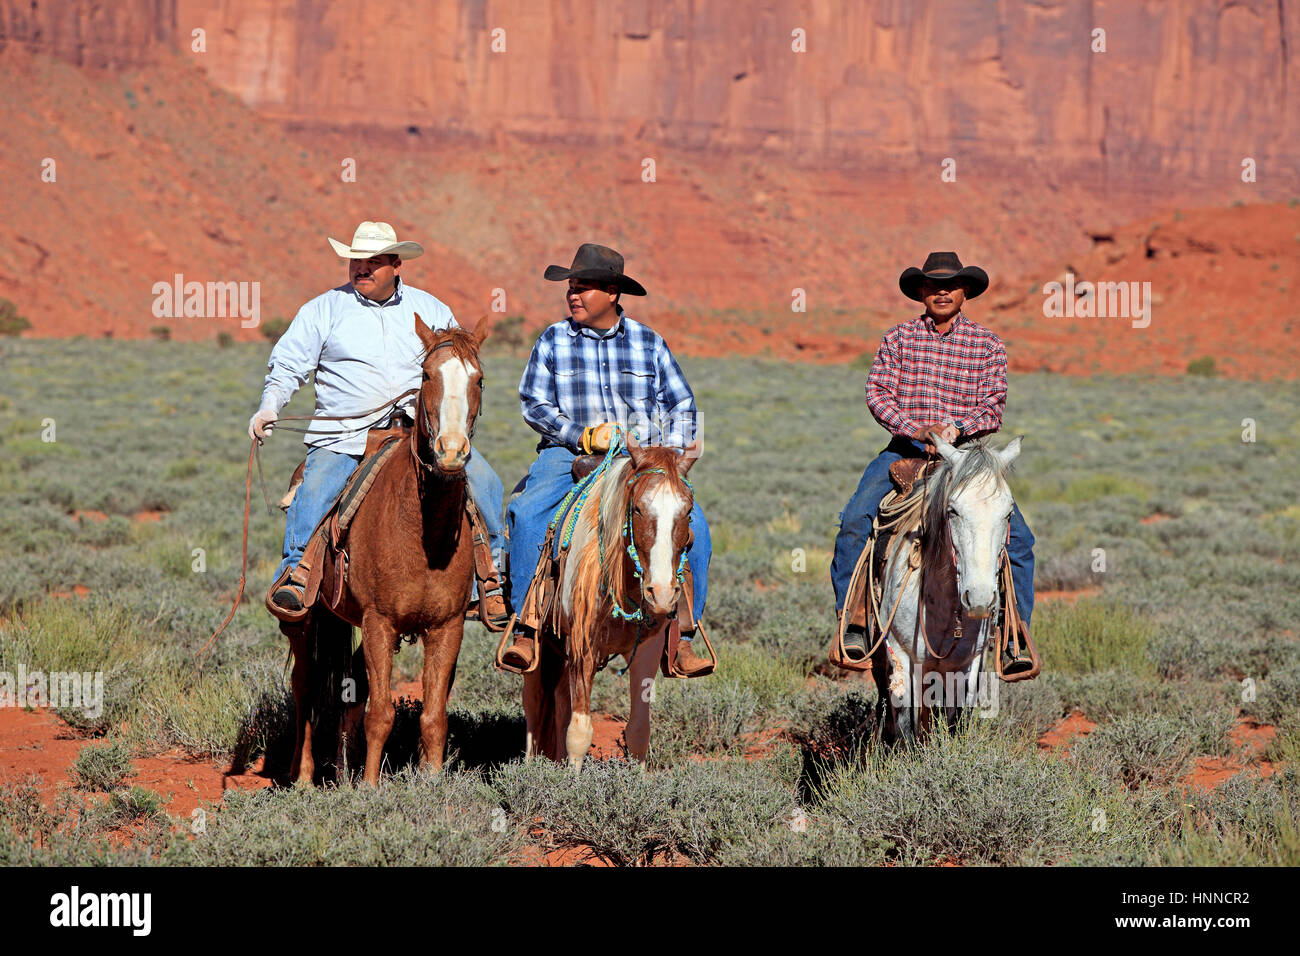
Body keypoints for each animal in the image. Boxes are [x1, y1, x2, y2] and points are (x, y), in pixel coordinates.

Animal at [287, 317, 488, 790]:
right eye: (427, 376)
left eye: (479, 380)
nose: (451, 452)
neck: (421, 532)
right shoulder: (380, 622)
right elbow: (380, 712)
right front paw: (370, 788)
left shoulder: (446, 627)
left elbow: (433, 716)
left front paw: (431, 782)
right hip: (308, 619)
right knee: (306, 689)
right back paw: (303, 776)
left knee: (346, 691)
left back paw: (341, 771)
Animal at [522, 437, 696, 775]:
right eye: (638, 508)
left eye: (688, 510)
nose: (661, 593)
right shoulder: (583, 646)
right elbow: (579, 732)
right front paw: (572, 783)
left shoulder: (647, 649)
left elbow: (638, 730)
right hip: (542, 644)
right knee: (534, 704)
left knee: (559, 700)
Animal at [873, 437, 1024, 743]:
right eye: (952, 510)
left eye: (1009, 512)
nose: (979, 599)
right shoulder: (902, 657)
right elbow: (906, 731)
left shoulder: (970, 663)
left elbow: (957, 724)